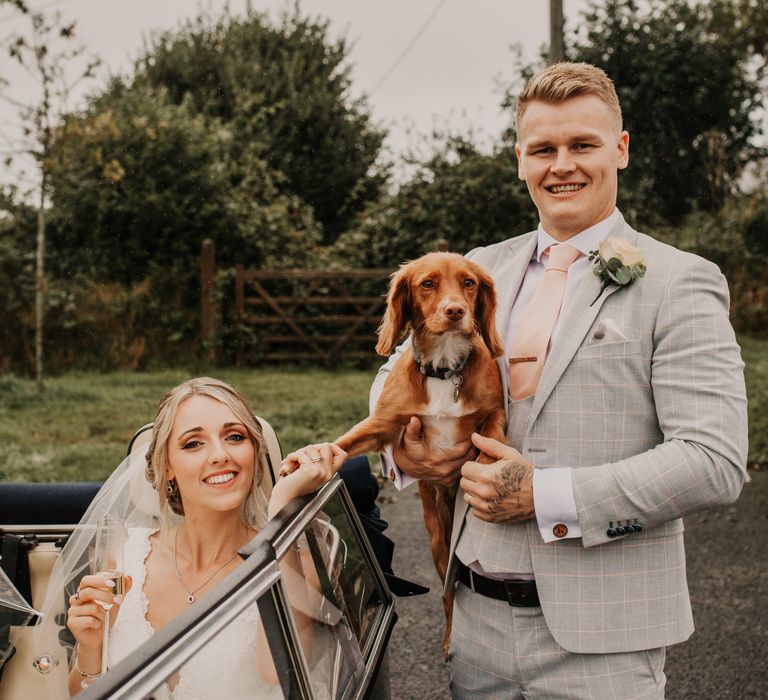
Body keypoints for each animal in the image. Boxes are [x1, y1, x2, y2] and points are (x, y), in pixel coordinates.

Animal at [334, 254, 504, 660]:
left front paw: (487, 471)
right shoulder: (383, 424)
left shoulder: (494, 412)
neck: (443, 369)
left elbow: (491, 438)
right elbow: (346, 442)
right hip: (438, 541)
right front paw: (303, 459)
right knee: (447, 593)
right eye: (427, 284)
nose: (456, 311)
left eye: (469, 283)